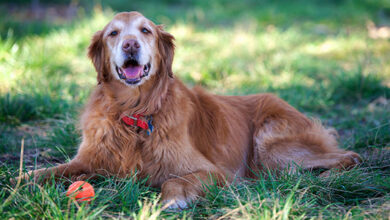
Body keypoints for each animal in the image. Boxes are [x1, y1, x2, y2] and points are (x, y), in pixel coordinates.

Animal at [21, 11, 362, 208]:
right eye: (113, 34)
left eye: (145, 31)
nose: (130, 45)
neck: (135, 112)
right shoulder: (88, 159)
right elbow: (44, 172)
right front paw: (18, 182)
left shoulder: (214, 171)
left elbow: (174, 180)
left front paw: (171, 201)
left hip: (270, 148)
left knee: (351, 157)